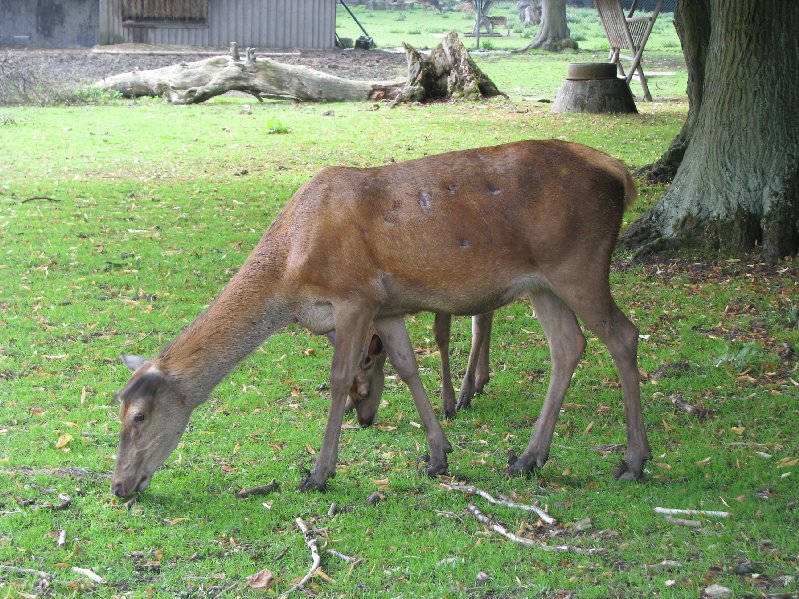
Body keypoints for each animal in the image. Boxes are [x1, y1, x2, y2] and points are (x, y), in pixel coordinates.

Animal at [111, 139, 648, 496]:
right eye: (118, 411)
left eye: (139, 416)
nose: (118, 486)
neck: (290, 272)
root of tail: (622, 175)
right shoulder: (387, 307)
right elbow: (409, 367)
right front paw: (437, 455)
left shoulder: (355, 296)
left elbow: (337, 377)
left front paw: (319, 473)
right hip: (543, 283)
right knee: (568, 346)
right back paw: (529, 458)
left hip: (579, 264)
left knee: (623, 335)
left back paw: (633, 461)